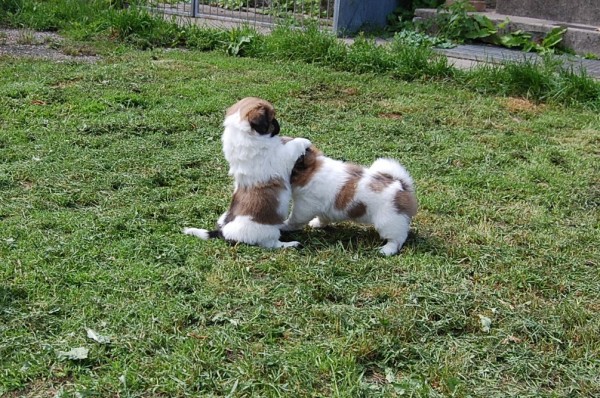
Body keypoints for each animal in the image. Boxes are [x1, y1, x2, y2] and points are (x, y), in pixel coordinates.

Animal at [184, 97, 312, 249]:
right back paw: (291, 244)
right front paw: (304, 141)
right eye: (272, 119)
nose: (278, 125)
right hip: (268, 232)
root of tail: (223, 232)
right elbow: (293, 146)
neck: (243, 134)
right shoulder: (281, 156)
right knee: (272, 244)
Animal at [282, 145, 418, 255]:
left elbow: (294, 220)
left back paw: (386, 250)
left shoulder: (304, 207)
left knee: (397, 240)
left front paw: (284, 225)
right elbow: (322, 218)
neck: (311, 171)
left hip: (388, 222)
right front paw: (316, 224)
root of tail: (402, 185)